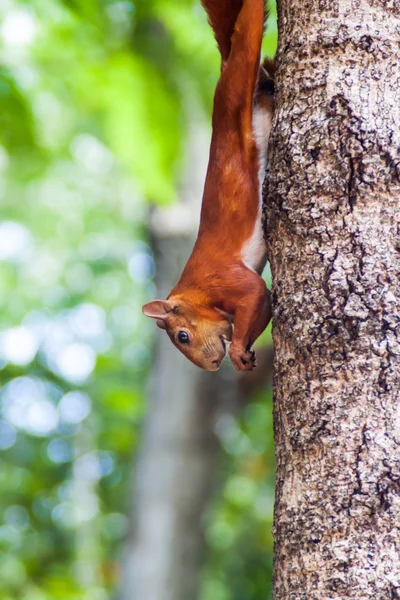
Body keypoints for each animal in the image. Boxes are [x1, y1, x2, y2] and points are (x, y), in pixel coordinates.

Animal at [142, 0, 276, 370]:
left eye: (182, 336)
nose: (211, 366)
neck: (194, 292)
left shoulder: (222, 279)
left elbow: (255, 291)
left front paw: (235, 349)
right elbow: (265, 304)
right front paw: (243, 354)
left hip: (237, 82)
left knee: (248, 43)